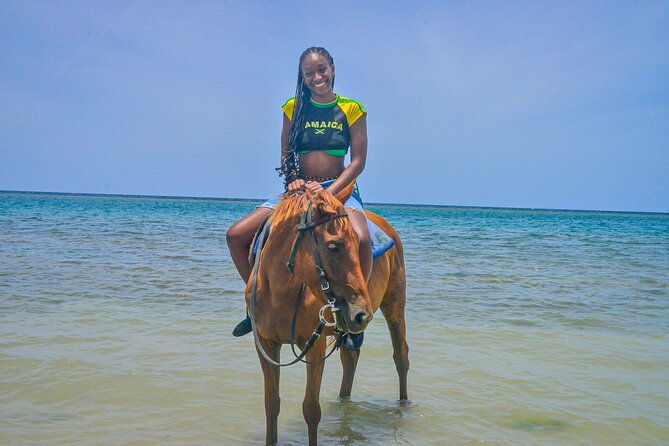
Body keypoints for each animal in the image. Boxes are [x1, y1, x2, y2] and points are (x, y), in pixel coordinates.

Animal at [245, 181, 409, 446]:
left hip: (394, 305)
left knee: (401, 356)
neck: (280, 291)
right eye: (334, 246)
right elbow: (271, 404)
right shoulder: (266, 344)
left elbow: (311, 409)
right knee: (350, 359)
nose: (361, 314)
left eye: (355, 243)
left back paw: (404, 406)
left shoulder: (315, 345)